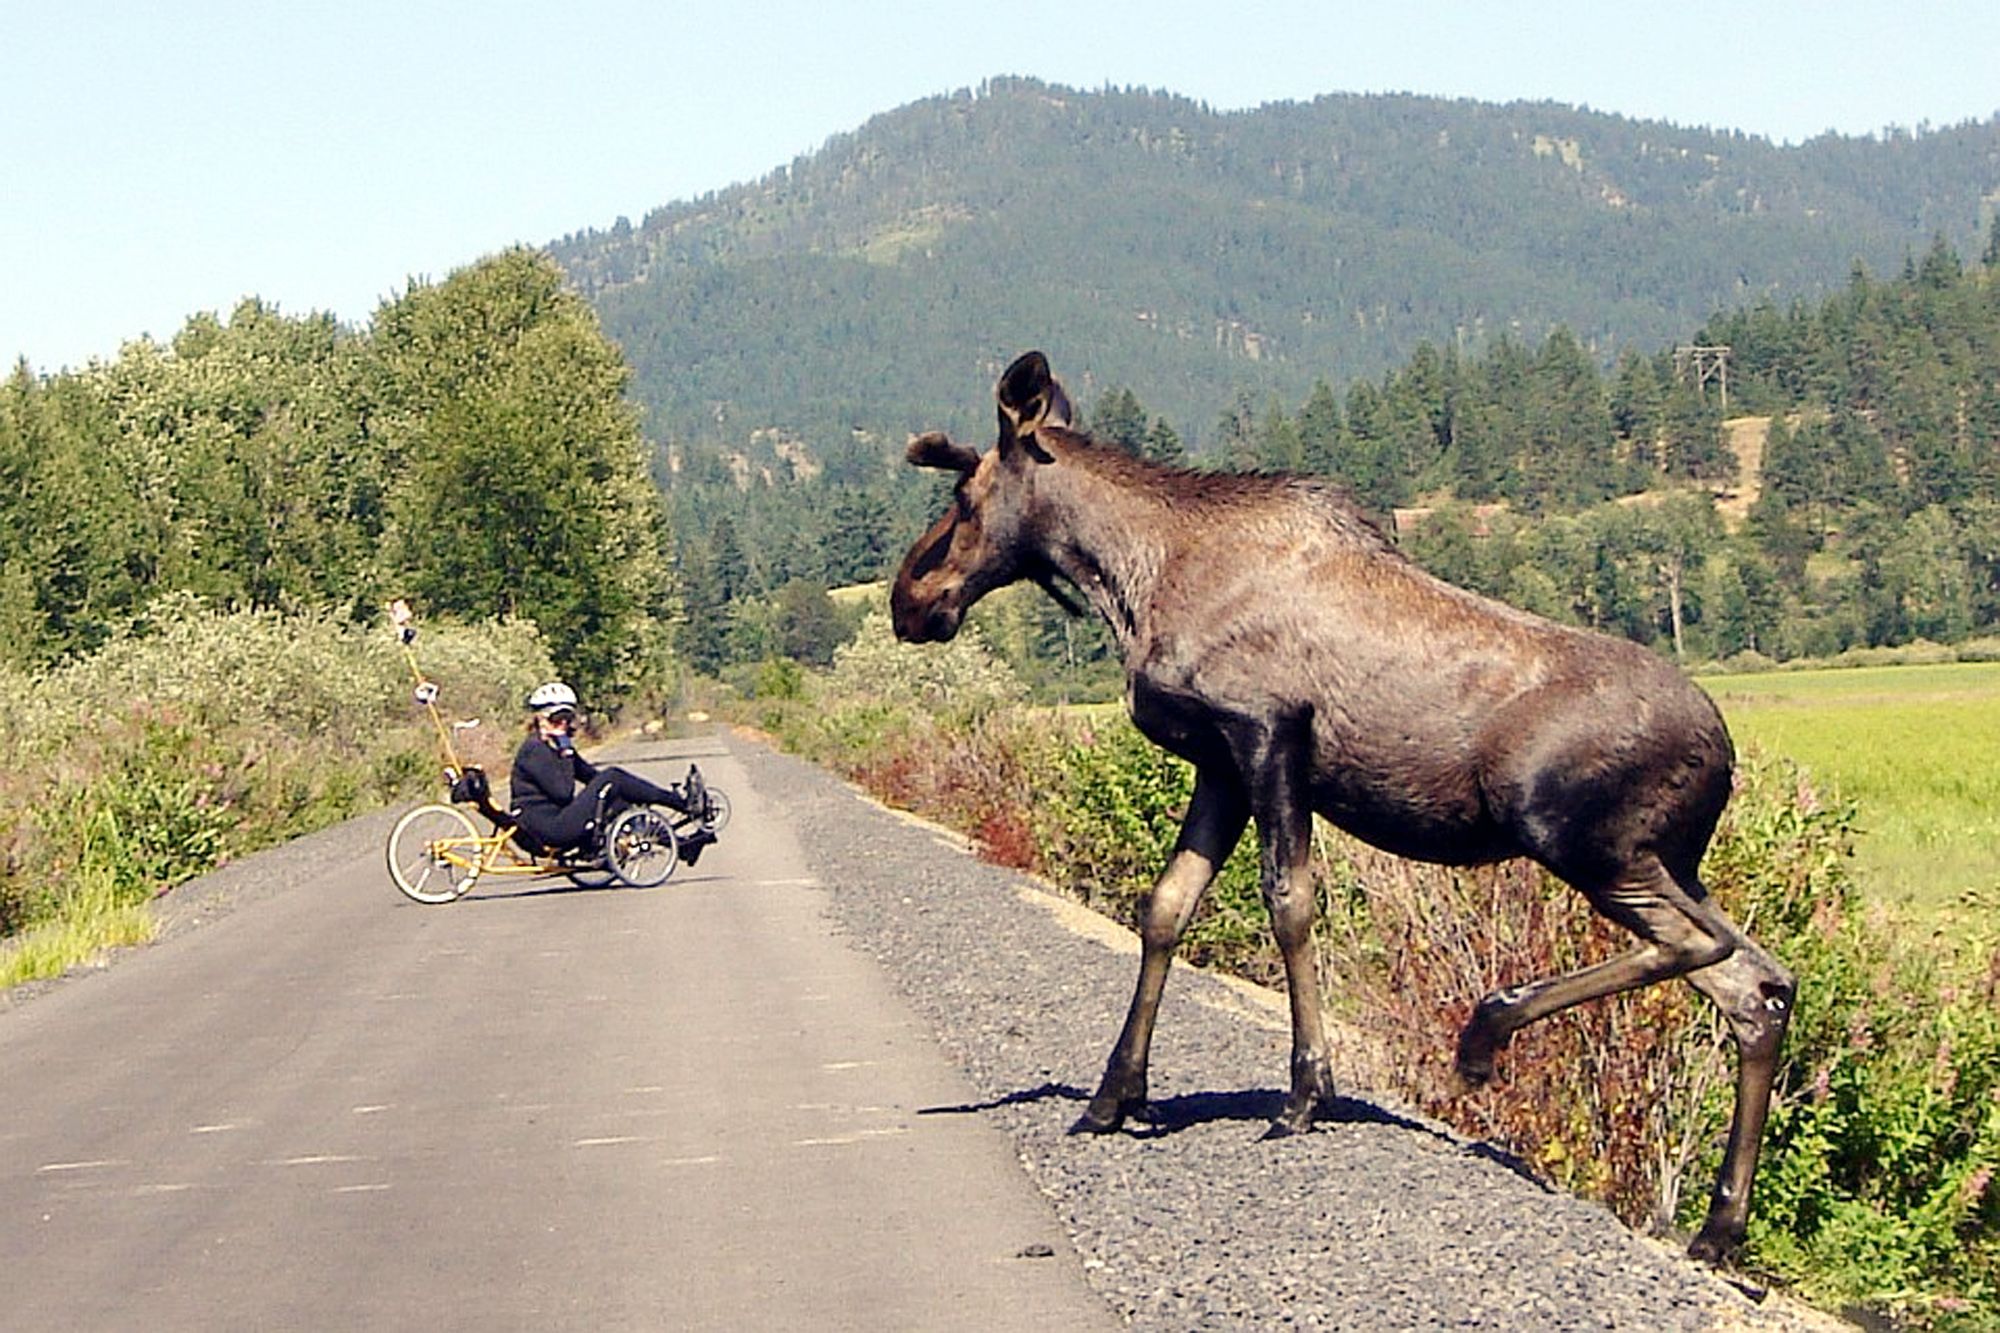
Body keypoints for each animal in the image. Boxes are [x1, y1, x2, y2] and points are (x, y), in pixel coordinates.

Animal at [892, 348, 1800, 1264]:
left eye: (964, 497)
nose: (908, 597)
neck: (1133, 578)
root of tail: (1725, 753)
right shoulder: (1220, 764)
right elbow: (1167, 906)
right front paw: (1115, 1096)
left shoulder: (1267, 729)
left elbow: (1289, 901)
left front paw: (1305, 1091)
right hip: (1660, 860)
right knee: (1759, 986)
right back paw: (1719, 1227)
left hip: (1580, 839)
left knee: (1708, 946)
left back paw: (1484, 1034)